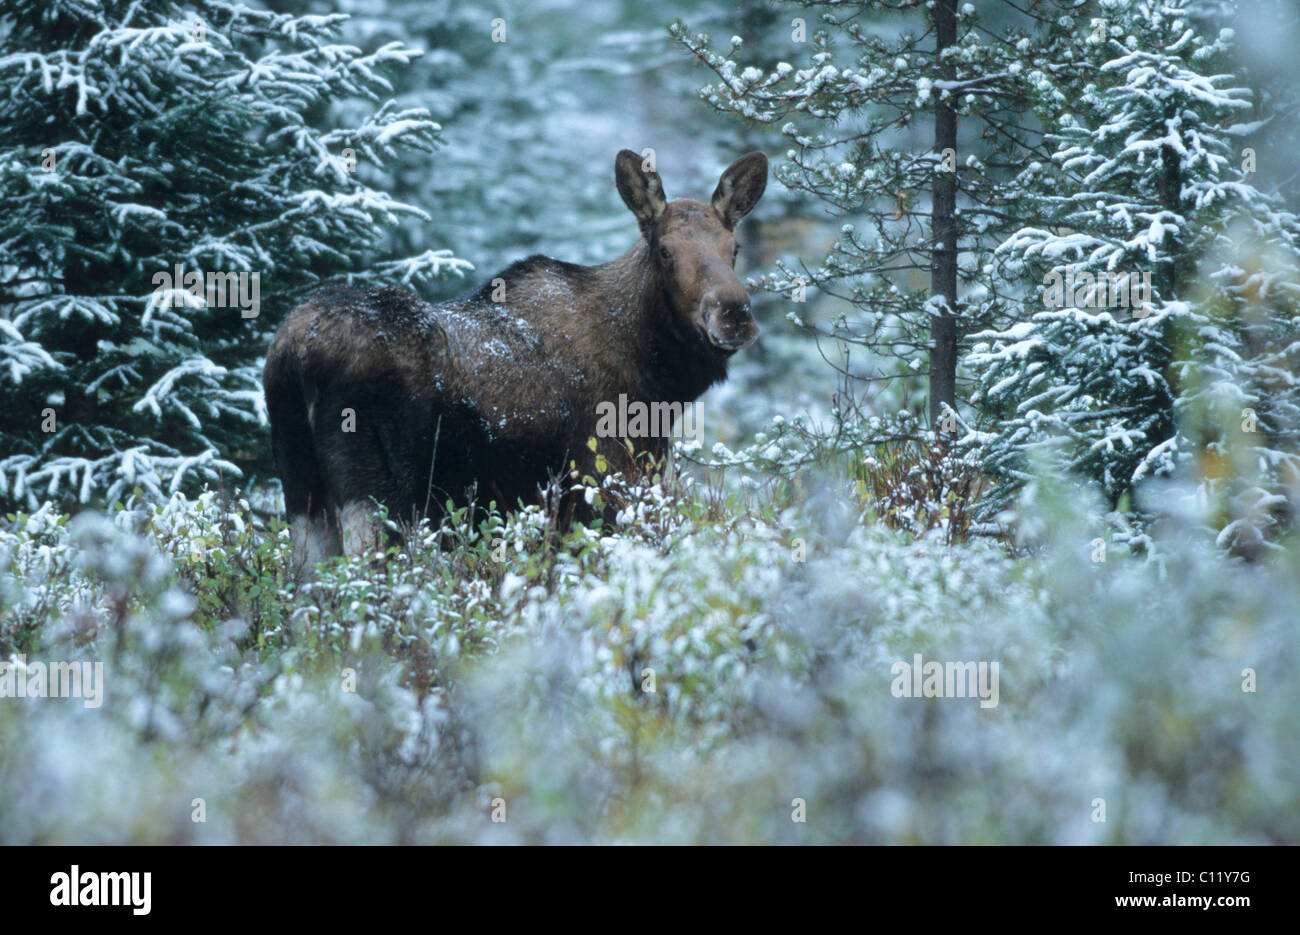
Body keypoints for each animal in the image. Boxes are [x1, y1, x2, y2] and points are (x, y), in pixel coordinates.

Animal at [266, 148, 769, 574]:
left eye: (734, 249)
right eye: (665, 251)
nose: (734, 314)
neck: (658, 379)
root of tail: (297, 356)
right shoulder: (605, 482)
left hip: (302, 493)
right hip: (378, 497)